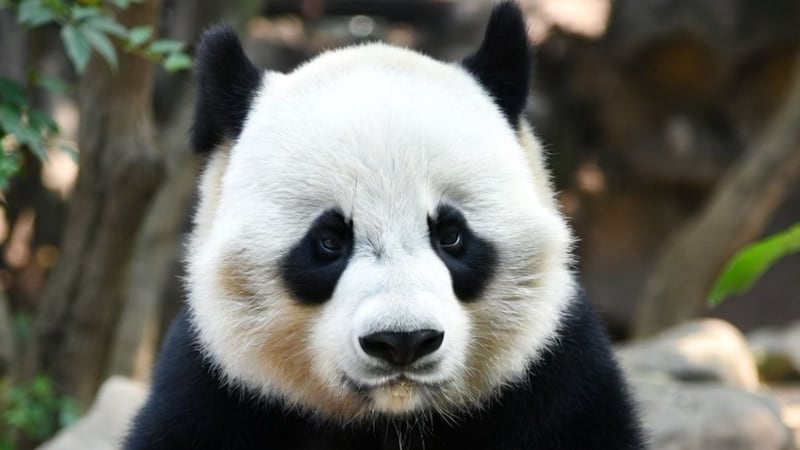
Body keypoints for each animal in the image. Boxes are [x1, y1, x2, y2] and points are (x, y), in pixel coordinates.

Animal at [125, 2, 644, 449]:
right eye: (328, 242)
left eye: (451, 235)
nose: (402, 342)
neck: (393, 420)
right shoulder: (216, 389)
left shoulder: (555, 379)